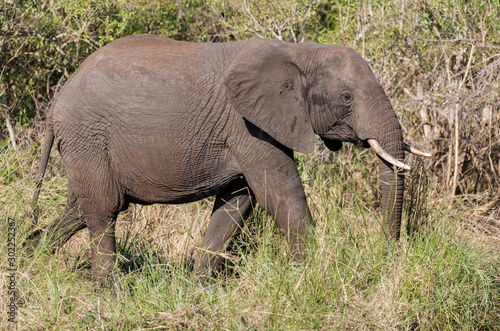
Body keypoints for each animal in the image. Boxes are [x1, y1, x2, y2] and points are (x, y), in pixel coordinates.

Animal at [27, 35, 428, 286]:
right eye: (346, 98)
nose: (387, 256)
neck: (299, 53)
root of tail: (55, 103)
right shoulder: (248, 126)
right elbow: (280, 194)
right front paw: (315, 275)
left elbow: (237, 202)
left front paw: (200, 290)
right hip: (89, 136)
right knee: (103, 210)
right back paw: (111, 293)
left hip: (86, 145)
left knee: (80, 208)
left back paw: (33, 259)